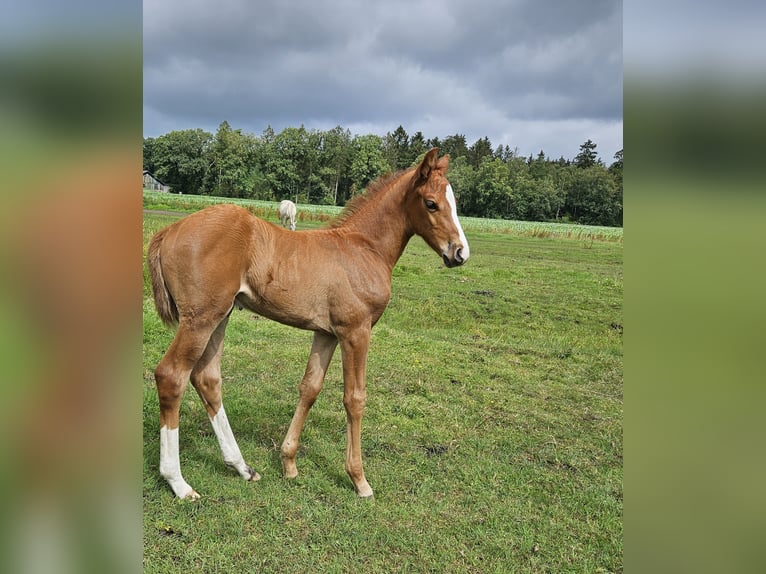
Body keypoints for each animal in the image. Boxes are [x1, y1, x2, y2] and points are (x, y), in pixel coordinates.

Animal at [144, 150, 468, 500]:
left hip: (221, 315)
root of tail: (169, 230)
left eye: (455, 202)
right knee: (171, 376)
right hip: (200, 318)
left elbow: (310, 388)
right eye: (431, 203)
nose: (460, 252)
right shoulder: (356, 330)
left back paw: (243, 468)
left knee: (206, 378)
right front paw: (359, 480)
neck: (363, 247)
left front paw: (288, 463)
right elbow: (355, 398)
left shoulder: (326, 333)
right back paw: (178, 482)